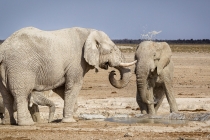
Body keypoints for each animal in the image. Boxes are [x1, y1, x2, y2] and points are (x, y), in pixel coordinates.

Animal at [0, 26, 136, 125]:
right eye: (112, 50)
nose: (113, 72)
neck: (89, 31)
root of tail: (3, 48)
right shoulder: (76, 62)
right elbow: (74, 85)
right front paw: (70, 121)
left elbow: (62, 87)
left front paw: (73, 115)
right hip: (20, 67)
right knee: (21, 93)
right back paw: (26, 124)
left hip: (6, 67)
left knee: (6, 95)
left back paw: (9, 123)